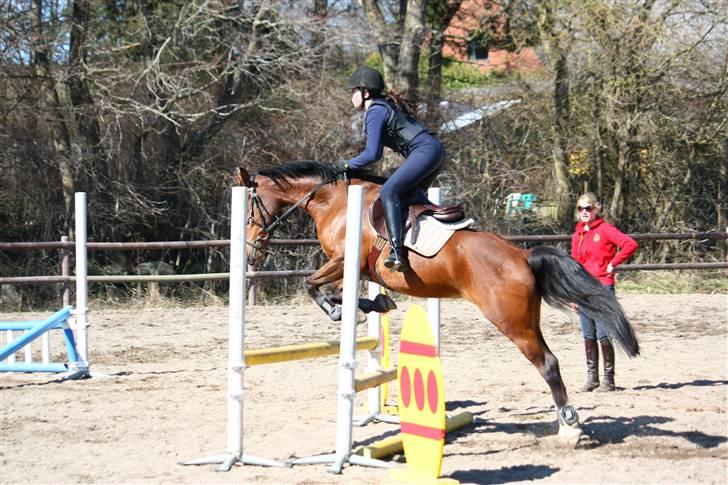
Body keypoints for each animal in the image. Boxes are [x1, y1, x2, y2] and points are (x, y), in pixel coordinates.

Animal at [236, 160, 640, 438]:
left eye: (251, 208)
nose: (250, 252)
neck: (333, 202)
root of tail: (523, 256)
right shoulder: (354, 270)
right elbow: (336, 291)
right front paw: (374, 305)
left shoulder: (344, 261)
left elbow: (312, 286)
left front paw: (344, 311)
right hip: (526, 319)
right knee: (548, 359)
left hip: (511, 321)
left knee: (548, 363)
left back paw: (569, 423)